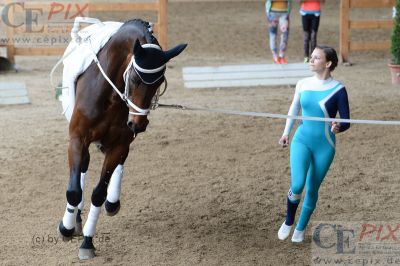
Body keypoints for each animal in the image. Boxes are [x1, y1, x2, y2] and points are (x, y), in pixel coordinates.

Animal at [57, 19, 188, 260]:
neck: (110, 93)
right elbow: (74, 190)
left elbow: (98, 193)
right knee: (83, 169)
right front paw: (66, 228)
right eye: (135, 78)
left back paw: (112, 202)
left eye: (160, 82)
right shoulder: (77, 139)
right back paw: (75, 219)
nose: (138, 124)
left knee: (119, 164)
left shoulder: (118, 144)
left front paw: (88, 242)